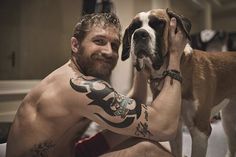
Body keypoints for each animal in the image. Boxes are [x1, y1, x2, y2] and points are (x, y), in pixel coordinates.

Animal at [121, 8, 236, 157]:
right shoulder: (174, 127)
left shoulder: (200, 131)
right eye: (133, 27)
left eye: (159, 23)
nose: (139, 34)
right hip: (229, 118)